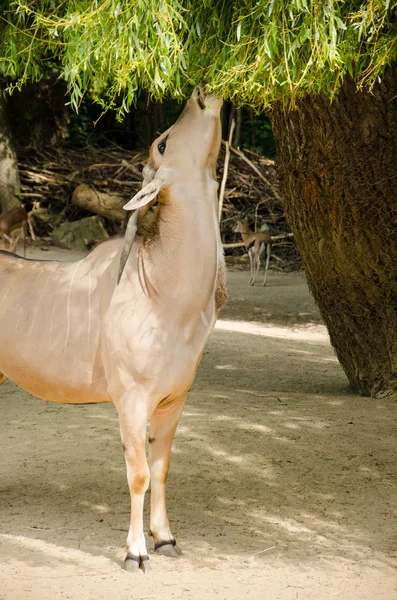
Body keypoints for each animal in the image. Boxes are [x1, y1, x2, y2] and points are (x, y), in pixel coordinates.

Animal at [0, 88, 226, 572]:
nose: (203, 95)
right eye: (162, 142)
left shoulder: (173, 401)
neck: (162, 290)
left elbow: (160, 468)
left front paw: (165, 539)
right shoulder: (131, 400)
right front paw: (135, 551)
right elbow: (138, 473)